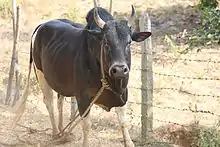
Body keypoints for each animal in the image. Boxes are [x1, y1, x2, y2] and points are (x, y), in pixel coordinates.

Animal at [12, 6, 151, 147]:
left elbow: (123, 123)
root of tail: (42, 25)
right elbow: (86, 126)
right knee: (49, 103)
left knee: (59, 100)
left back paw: (63, 132)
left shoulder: (122, 95)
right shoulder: (83, 99)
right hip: (40, 75)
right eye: (106, 42)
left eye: (129, 42)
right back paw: (55, 133)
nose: (120, 70)